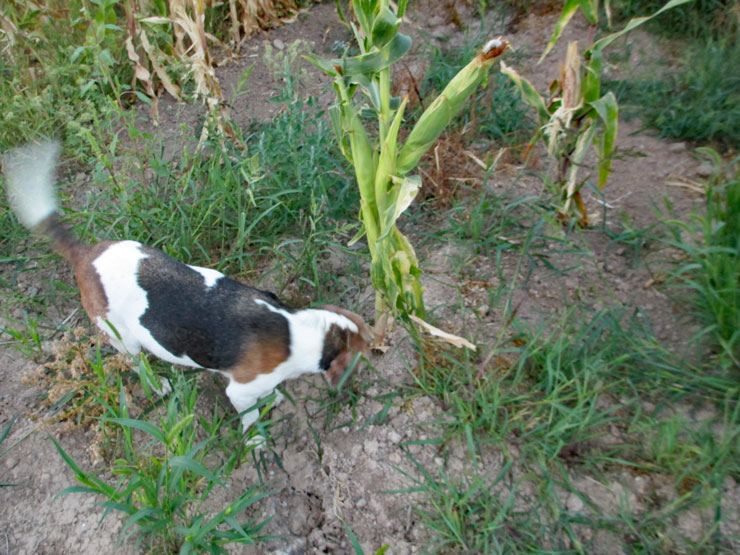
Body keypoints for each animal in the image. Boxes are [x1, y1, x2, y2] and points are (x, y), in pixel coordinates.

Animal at [3, 141, 371, 439]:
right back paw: (158, 386)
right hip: (122, 337)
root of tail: (86, 254)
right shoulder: (240, 391)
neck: (297, 330)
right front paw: (256, 438)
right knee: (138, 365)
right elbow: (249, 415)